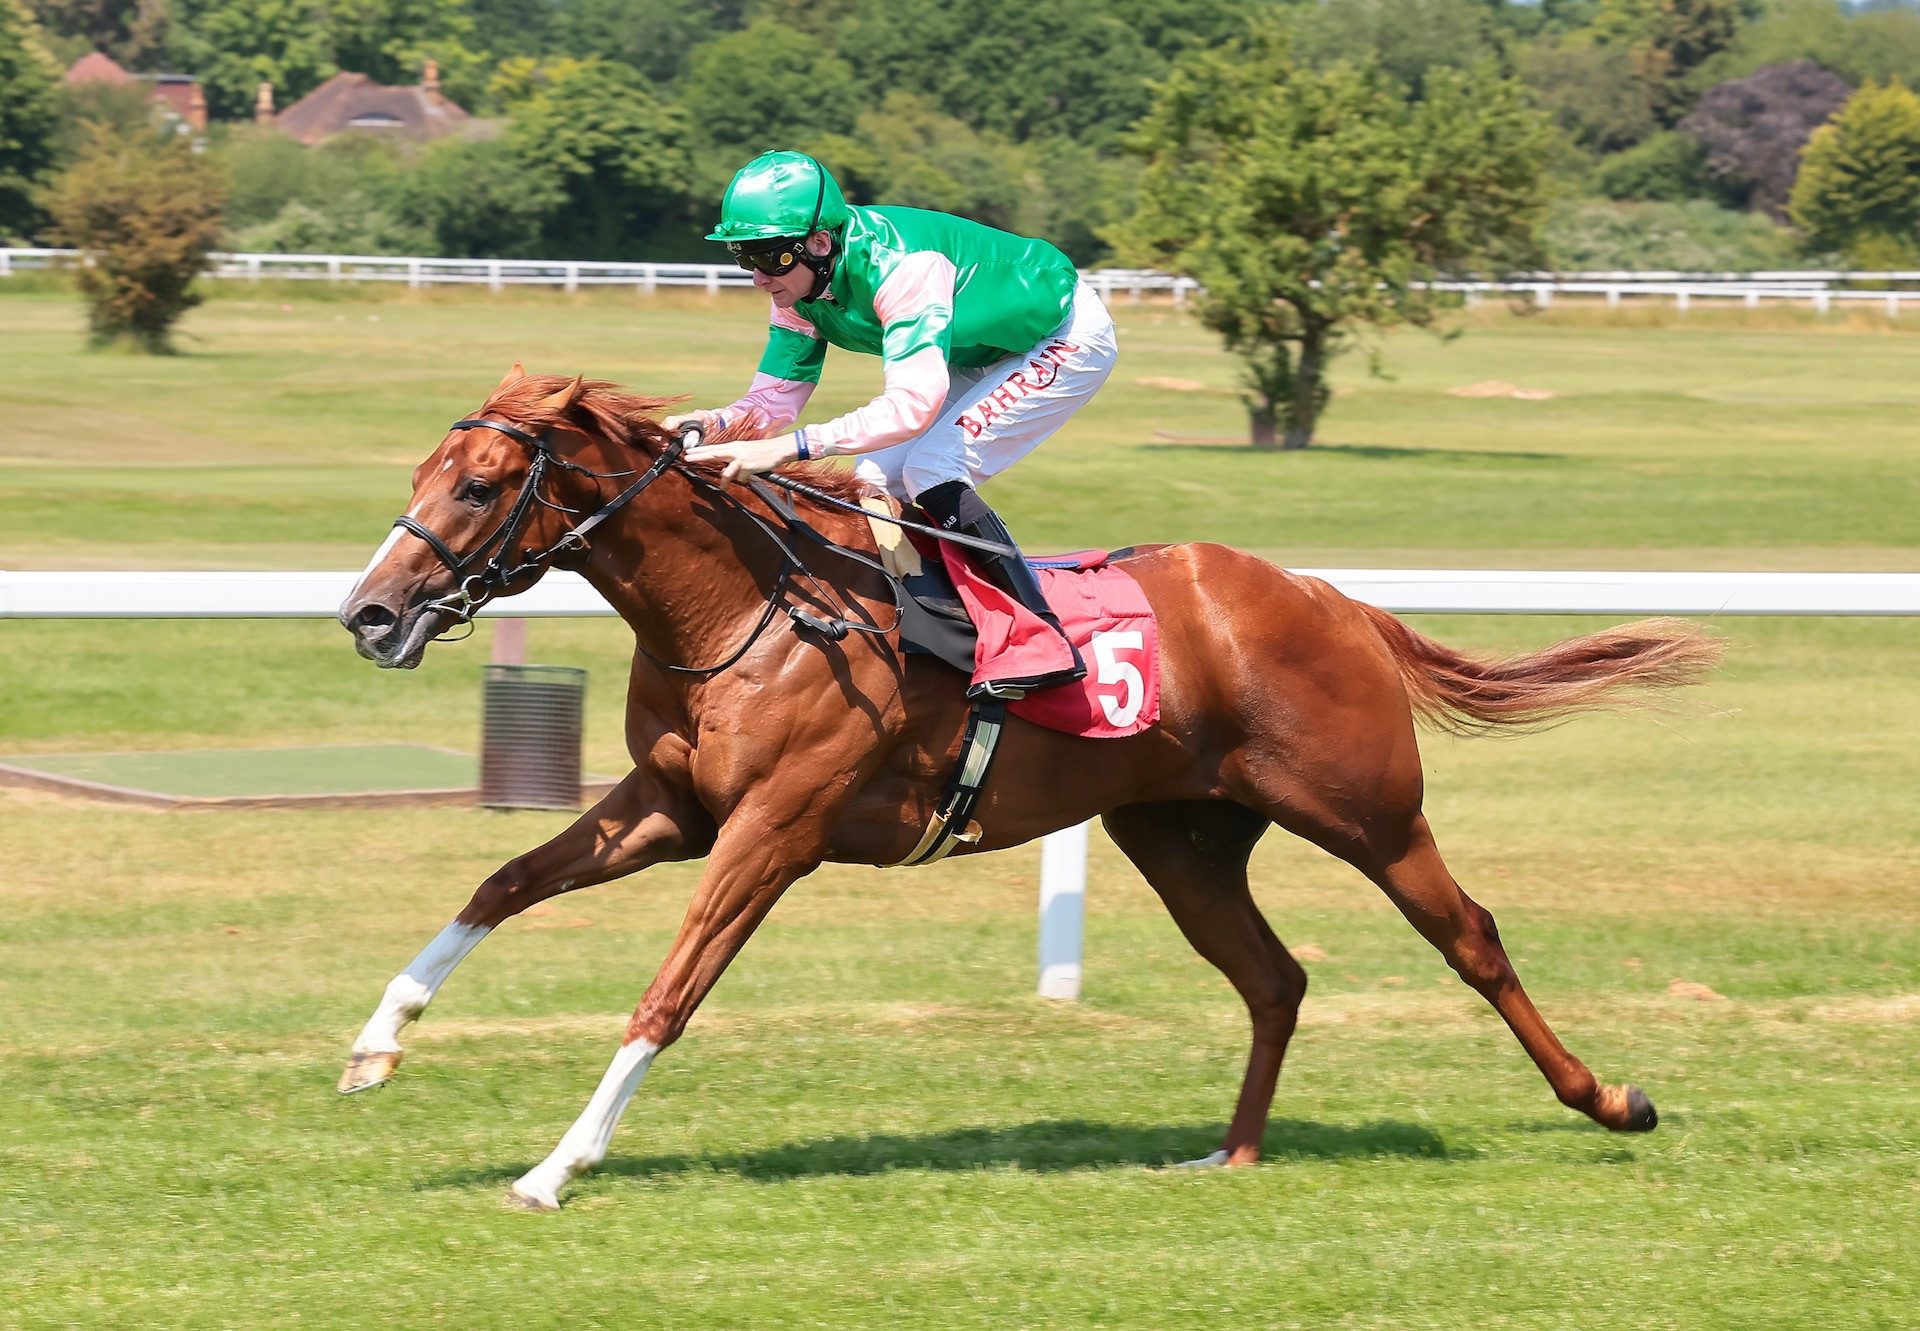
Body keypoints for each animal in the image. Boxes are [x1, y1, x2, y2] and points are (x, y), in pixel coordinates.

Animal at [337, 368, 1720, 1206]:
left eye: (475, 484)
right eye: (416, 475)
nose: (368, 613)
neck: (749, 605)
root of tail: (1330, 597)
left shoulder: (771, 831)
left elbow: (667, 992)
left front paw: (555, 1165)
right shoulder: (672, 809)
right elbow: (503, 879)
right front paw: (374, 1042)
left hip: (1368, 811)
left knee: (1470, 936)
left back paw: (1609, 1097)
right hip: (1181, 837)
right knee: (1274, 976)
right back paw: (1232, 1148)